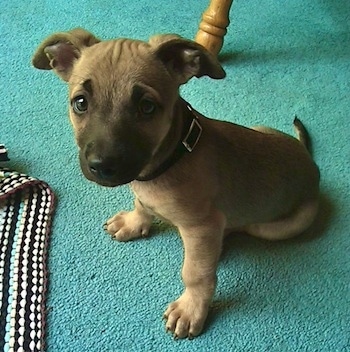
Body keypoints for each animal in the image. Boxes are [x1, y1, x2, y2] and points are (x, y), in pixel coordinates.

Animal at [32, 28, 320, 340]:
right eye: (81, 102)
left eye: (146, 107)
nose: (102, 166)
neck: (171, 159)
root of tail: (310, 160)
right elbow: (141, 205)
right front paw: (134, 222)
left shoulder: (201, 227)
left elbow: (195, 273)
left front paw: (191, 309)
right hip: (260, 128)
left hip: (279, 226)